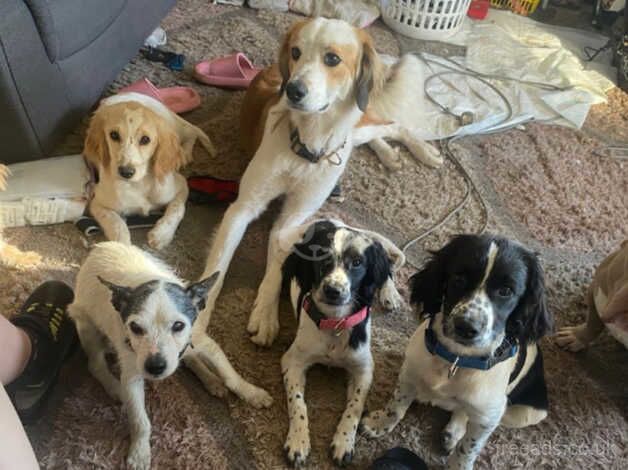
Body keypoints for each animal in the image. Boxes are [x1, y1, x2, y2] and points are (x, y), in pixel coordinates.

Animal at [68, 242, 272, 470]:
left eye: (179, 326)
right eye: (135, 327)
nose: (155, 367)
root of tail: (102, 245)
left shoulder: (203, 342)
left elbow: (230, 374)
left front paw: (251, 392)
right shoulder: (132, 374)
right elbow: (140, 420)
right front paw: (140, 452)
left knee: (191, 359)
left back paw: (211, 380)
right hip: (87, 326)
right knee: (95, 364)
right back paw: (113, 386)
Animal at [83, 93, 216, 252]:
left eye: (145, 139)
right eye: (114, 135)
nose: (126, 172)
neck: (139, 184)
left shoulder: (182, 185)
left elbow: (177, 209)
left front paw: (162, 234)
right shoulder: (98, 203)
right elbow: (116, 223)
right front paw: (122, 249)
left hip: (175, 126)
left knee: (191, 131)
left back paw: (185, 153)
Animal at [272, 220, 400, 466]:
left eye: (358, 262)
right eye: (321, 257)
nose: (333, 290)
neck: (335, 323)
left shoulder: (364, 368)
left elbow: (355, 406)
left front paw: (344, 441)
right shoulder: (293, 361)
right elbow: (297, 402)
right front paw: (298, 439)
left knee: (387, 272)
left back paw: (390, 294)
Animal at [360, 235, 552, 470]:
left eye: (506, 291)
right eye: (459, 278)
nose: (466, 327)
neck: (456, 360)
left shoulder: (489, 416)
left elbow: (469, 448)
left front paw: (458, 463)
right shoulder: (409, 373)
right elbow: (396, 405)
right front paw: (380, 423)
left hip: (527, 414)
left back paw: (455, 430)